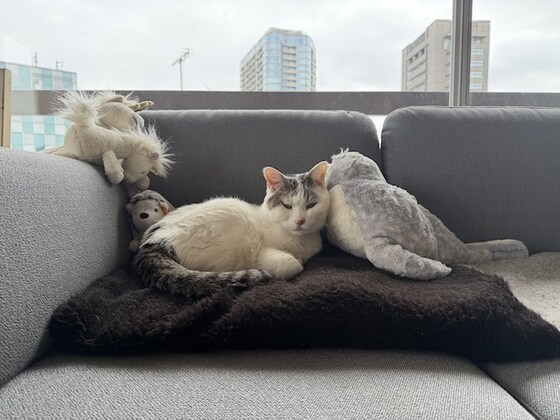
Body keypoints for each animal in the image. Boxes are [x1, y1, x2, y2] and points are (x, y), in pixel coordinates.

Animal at [133, 161, 330, 299]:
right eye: (287, 205)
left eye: (311, 205)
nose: (300, 221)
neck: (301, 241)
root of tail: (153, 243)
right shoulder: (264, 255)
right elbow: (293, 264)